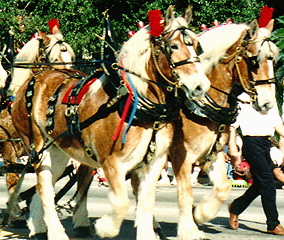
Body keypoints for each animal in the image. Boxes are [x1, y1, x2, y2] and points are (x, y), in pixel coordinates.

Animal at [11, 6, 210, 240]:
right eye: (174, 46)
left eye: (197, 45)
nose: (200, 86)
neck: (136, 104)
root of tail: (35, 78)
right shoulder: (112, 163)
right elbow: (122, 204)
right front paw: (105, 227)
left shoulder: (154, 163)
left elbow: (146, 204)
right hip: (39, 148)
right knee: (43, 187)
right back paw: (56, 232)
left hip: (58, 152)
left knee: (44, 191)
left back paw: (39, 228)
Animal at [165, 18, 278, 238]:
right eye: (254, 61)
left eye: (273, 61)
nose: (268, 103)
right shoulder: (181, 156)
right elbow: (185, 193)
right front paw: (189, 229)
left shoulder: (213, 154)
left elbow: (223, 188)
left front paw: (199, 214)